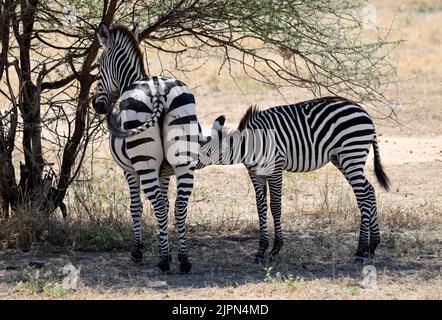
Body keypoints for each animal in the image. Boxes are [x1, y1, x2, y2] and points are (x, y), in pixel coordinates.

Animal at [93, 23, 224, 272]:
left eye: (98, 67)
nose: (97, 106)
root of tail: (158, 91)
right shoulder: (165, 171)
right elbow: (165, 200)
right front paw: (169, 250)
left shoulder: (129, 170)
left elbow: (136, 207)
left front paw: (139, 250)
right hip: (183, 160)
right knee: (179, 206)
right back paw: (184, 259)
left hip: (144, 163)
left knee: (160, 206)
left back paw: (163, 262)